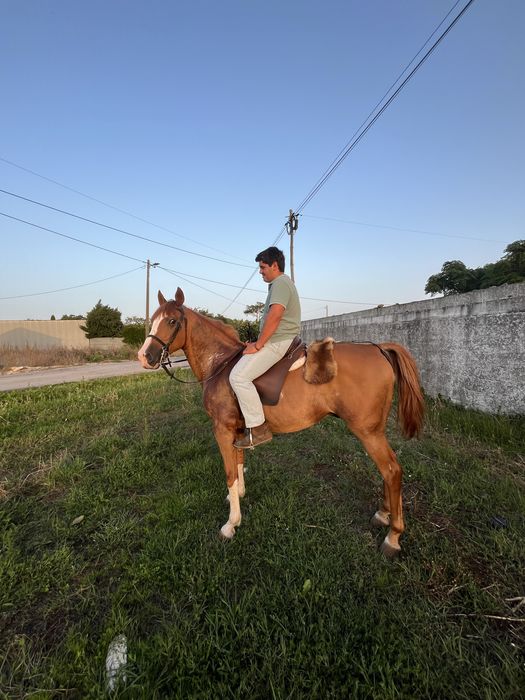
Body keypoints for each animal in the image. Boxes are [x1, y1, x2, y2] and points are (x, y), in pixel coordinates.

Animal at [138, 288, 425, 557]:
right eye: (153, 320)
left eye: (172, 321)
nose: (144, 356)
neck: (220, 364)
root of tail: (377, 348)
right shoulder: (238, 431)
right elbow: (239, 465)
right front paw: (238, 496)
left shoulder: (222, 430)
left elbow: (230, 473)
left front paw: (231, 524)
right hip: (374, 431)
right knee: (388, 471)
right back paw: (383, 514)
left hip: (367, 431)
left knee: (391, 470)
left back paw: (393, 536)